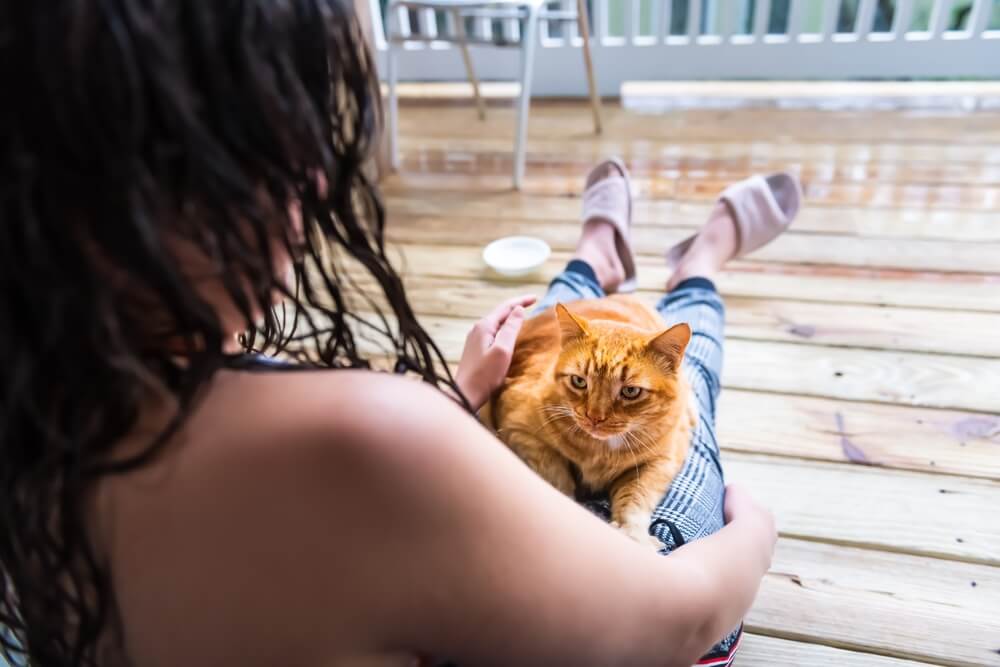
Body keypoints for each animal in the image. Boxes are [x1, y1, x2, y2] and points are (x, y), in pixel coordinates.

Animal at [484, 298, 696, 548]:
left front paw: (633, 534)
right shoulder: (518, 429)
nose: (594, 417)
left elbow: (636, 496)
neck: (601, 450)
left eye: (630, 391)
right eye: (579, 381)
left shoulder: (662, 460)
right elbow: (556, 476)